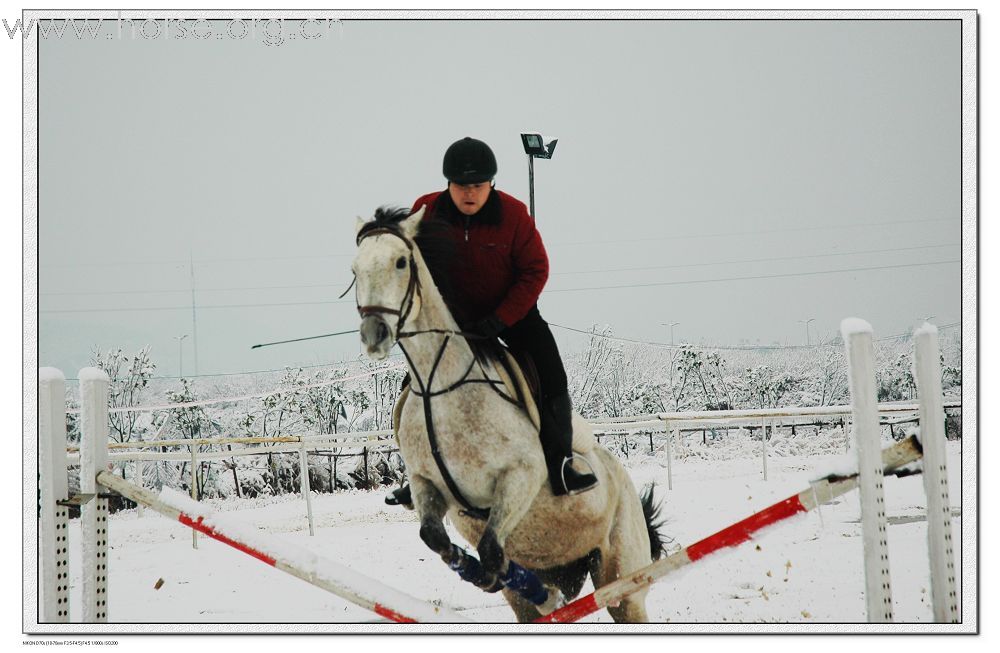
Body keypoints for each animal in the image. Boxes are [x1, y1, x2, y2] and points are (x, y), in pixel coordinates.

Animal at [352, 206, 664, 620]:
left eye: (401, 262)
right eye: (355, 270)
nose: (374, 334)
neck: (442, 388)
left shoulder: (520, 477)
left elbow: (490, 549)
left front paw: (490, 573)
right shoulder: (425, 484)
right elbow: (435, 537)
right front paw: (473, 570)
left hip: (623, 581)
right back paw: (544, 595)